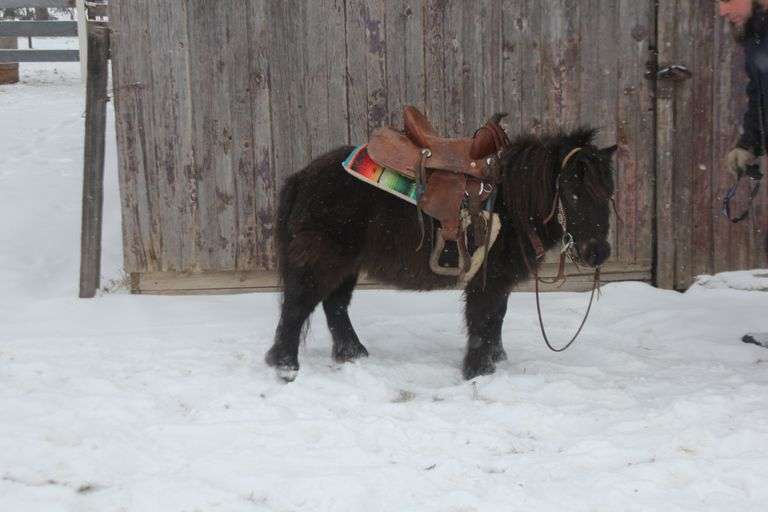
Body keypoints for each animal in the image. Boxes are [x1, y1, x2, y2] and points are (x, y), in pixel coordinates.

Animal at [265, 127, 617, 381]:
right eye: (573, 191)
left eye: (608, 192)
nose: (598, 252)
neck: (512, 204)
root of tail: (302, 177)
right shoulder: (487, 281)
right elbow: (483, 320)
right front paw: (478, 371)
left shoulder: (500, 281)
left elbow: (496, 318)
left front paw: (496, 362)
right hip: (323, 258)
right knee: (299, 304)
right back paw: (285, 366)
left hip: (347, 264)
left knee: (334, 305)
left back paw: (353, 353)